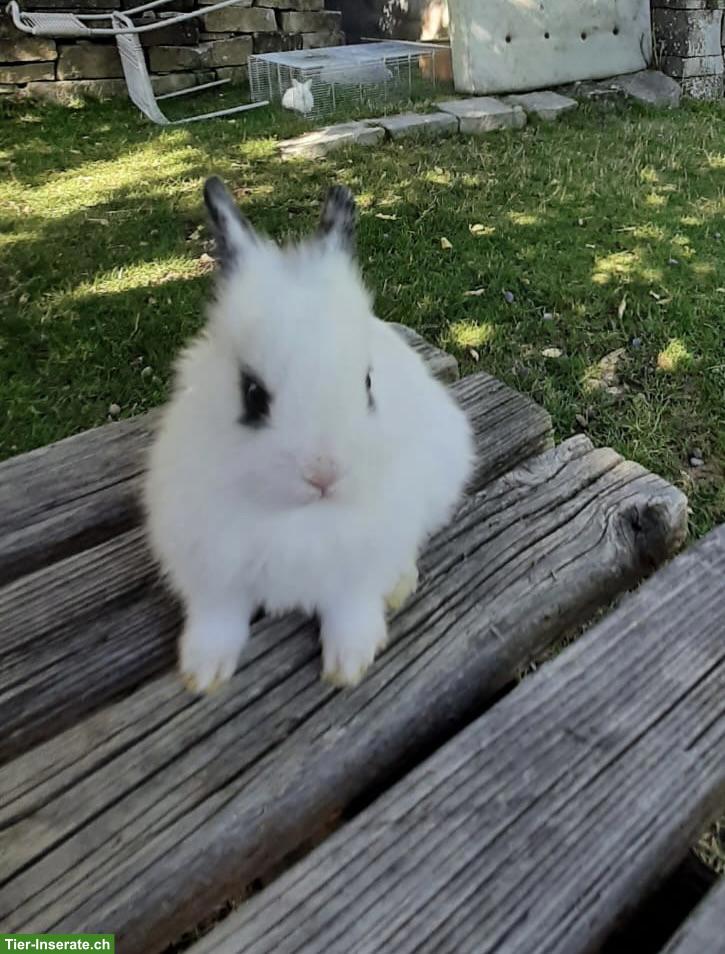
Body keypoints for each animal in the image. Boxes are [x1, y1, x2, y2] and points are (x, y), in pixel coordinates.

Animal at [144, 177, 475, 693]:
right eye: (252, 394)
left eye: (367, 383)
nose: (324, 473)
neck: (298, 518)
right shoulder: (209, 568)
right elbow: (217, 619)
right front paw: (203, 673)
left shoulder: (360, 563)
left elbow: (351, 609)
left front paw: (349, 665)